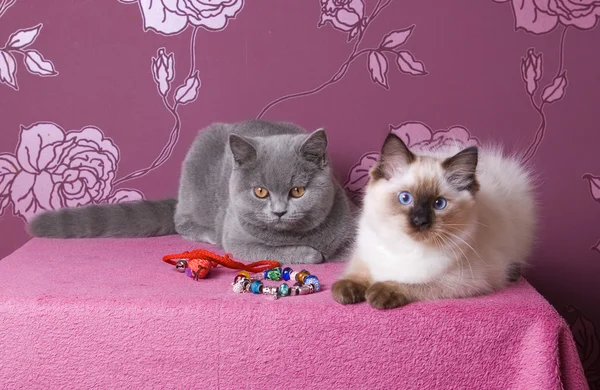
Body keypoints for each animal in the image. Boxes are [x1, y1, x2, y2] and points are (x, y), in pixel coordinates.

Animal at [332, 134, 536, 310]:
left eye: (439, 204)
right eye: (405, 198)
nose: (420, 221)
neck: (404, 247)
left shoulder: (465, 280)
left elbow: (415, 284)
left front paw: (379, 292)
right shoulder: (363, 254)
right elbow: (357, 272)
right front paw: (346, 290)